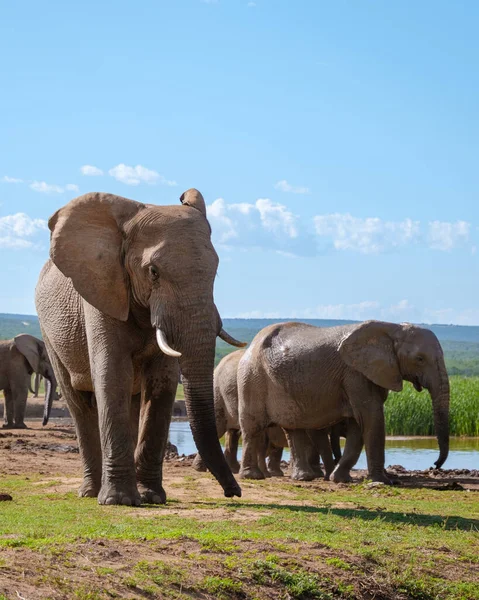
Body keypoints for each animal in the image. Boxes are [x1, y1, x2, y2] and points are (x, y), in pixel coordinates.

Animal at [35, 190, 244, 504]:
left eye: (215, 272)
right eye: (153, 272)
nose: (233, 491)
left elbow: (163, 383)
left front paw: (151, 497)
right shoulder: (103, 290)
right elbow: (113, 375)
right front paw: (119, 501)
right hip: (49, 333)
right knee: (78, 402)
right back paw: (91, 492)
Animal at [240, 318, 450, 482]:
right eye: (420, 359)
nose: (435, 465)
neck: (393, 328)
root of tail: (252, 343)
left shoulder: (371, 373)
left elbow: (358, 424)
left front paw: (340, 479)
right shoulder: (355, 374)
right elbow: (371, 417)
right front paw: (383, 481)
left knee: (294, 428)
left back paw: (304, 477)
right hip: (252, 376)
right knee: (252, 428)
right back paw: (253, 476)